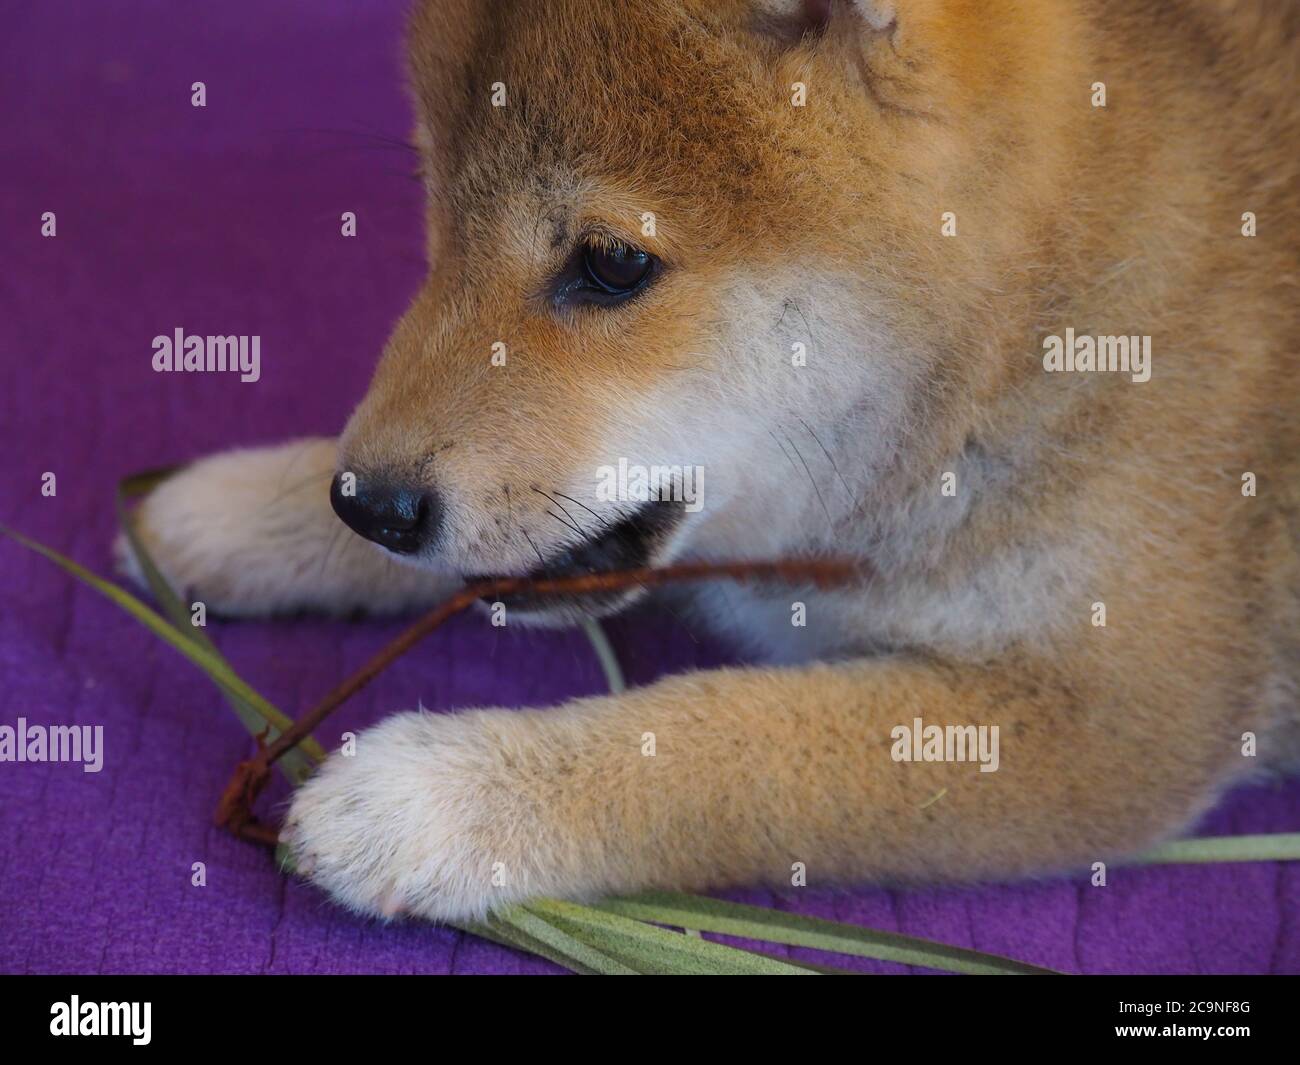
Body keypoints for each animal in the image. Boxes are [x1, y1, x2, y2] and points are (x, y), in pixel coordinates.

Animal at [116, 0, 1294, 920]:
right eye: (433, 201)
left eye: (610, 264)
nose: (369, 507)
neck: (1017, 330)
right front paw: (232, 510)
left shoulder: (1110, 721)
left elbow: (722, 748)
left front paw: (439, 800)